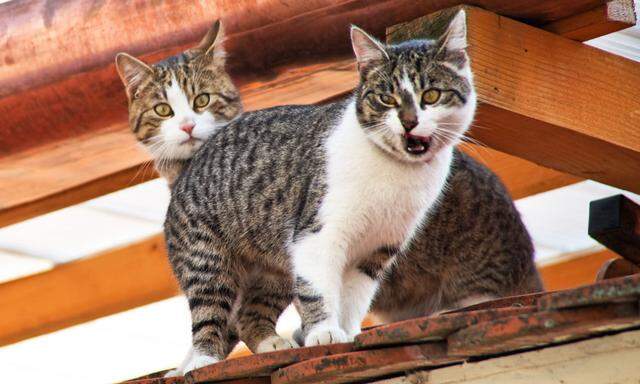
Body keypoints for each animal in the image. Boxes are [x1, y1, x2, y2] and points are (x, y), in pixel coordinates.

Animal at [164, 10, 476, 374]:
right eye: (386, 98)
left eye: (431, 96)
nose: (409, 121)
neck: (397, 175)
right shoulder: (316, 233)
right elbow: (317, 289)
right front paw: (324, 331)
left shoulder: (378, 249)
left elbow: (354, 298)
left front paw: (346, 332)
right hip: (207, 260)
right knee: (209, 315)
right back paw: (202, 361)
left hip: (274, 269)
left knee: (246, 313)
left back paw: (270, 342)